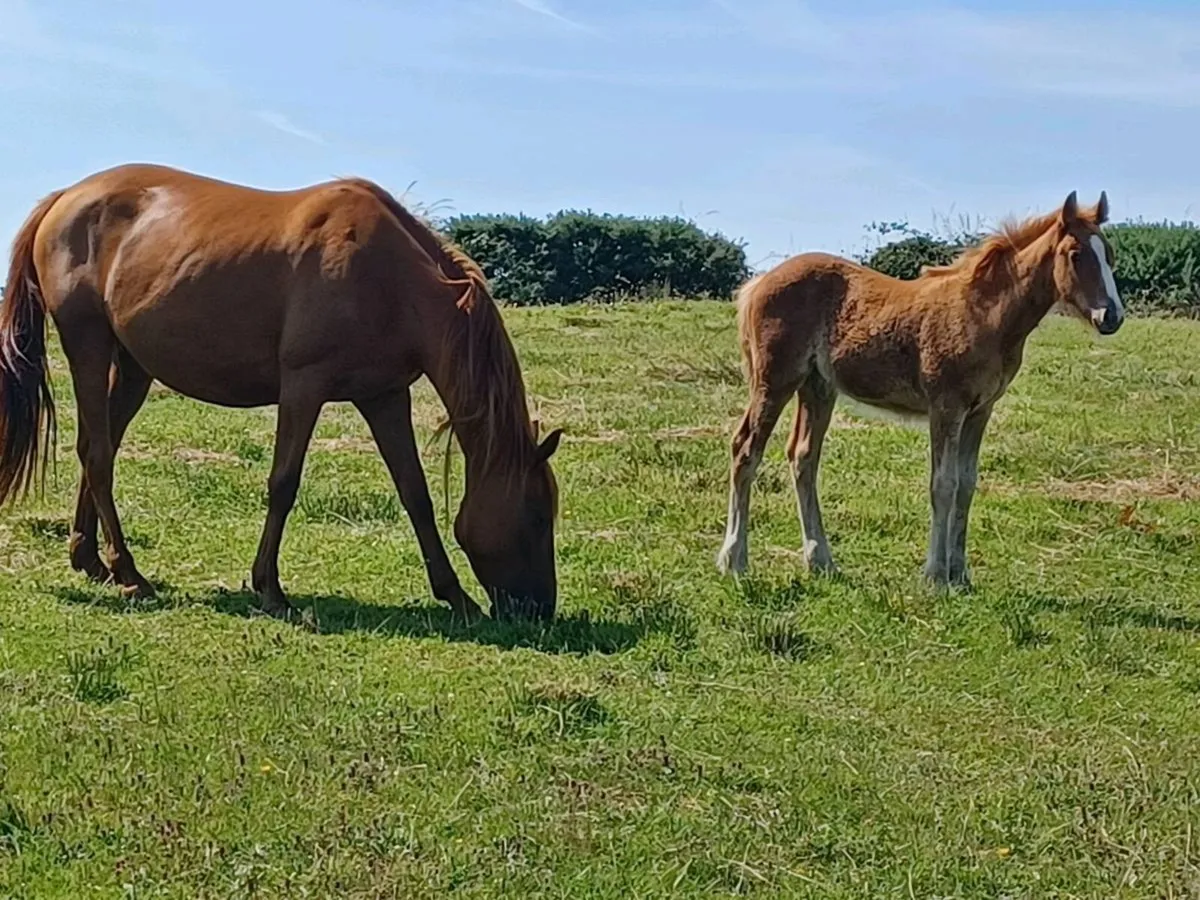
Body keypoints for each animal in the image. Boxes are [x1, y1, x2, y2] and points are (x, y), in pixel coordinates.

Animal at [0, 163, 563, 622]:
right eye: (538, 515)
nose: (539, 610)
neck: (391, 279)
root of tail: (65, 197)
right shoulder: (303, 387)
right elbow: (283, 484)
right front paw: (269, 588)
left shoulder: (385, 397)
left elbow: (415, 495)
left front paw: (456, 597)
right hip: (89, 347)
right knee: (97, 454)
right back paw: (129, 574)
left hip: (134, 367)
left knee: (101, 449)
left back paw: (89, 559)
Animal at [717, 190, 1124, 587]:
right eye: (1075, 254)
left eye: (1109, 254)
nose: (1112, 317)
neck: (984, 314)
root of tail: (758, 283)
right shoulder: (946, 407)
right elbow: (942, 484)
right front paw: (935, 576)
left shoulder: (980, 411)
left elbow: (966, 484)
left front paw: (960, 574)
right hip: (774, 382)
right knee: (746, 450)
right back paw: (734, 559)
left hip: (817, 388)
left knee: (803, 457)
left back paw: (820, 560)